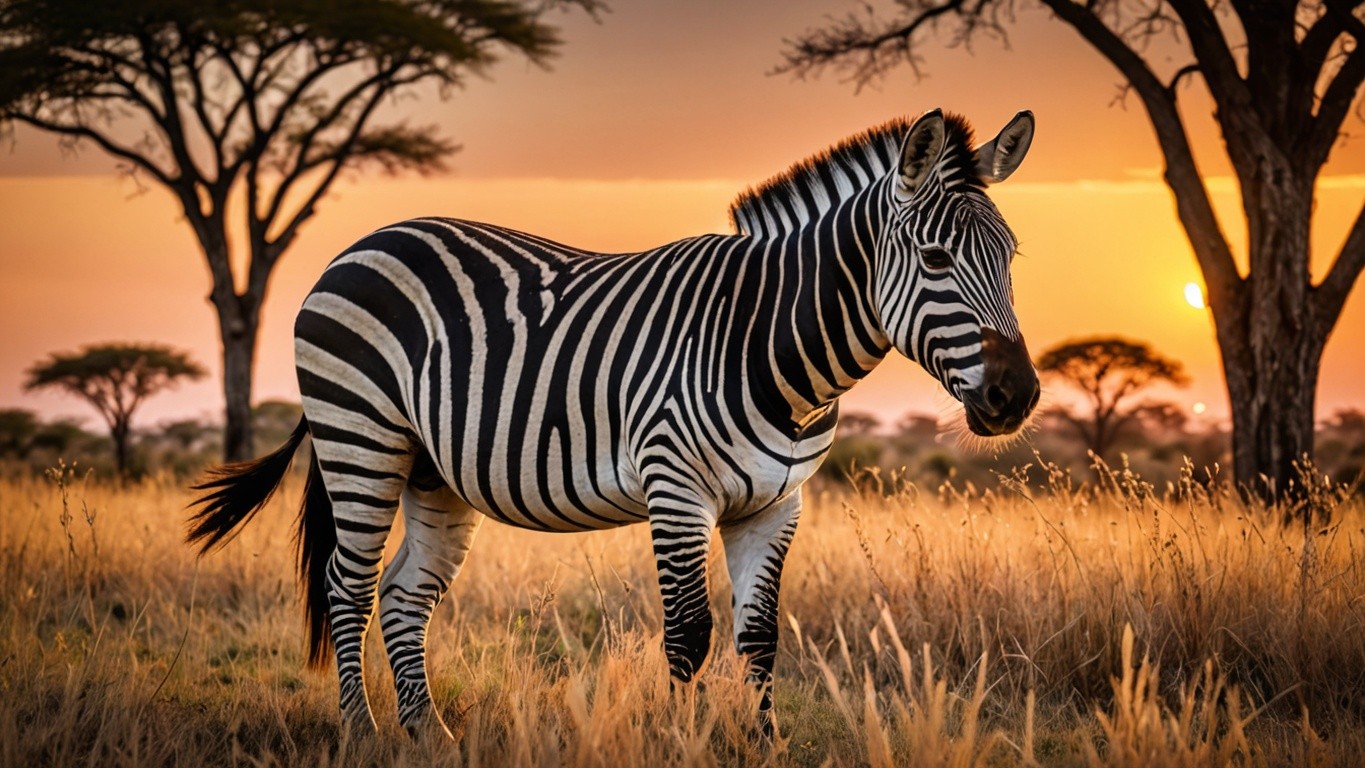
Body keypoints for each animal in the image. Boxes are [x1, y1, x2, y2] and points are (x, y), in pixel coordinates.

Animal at [187, 107, 1040, 739]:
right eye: (933, 259)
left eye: (1010, 258)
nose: (1018, 396)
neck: (765, 340)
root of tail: (363, 244)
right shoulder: (676, 486)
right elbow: (689, 632)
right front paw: (684, 743)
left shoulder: (777, 503)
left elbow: (759, 637)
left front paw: (761, 745)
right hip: (360, 438)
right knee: (349, 586)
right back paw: (361, 735)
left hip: (434, 473)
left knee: (402, 594)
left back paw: (428, 736)